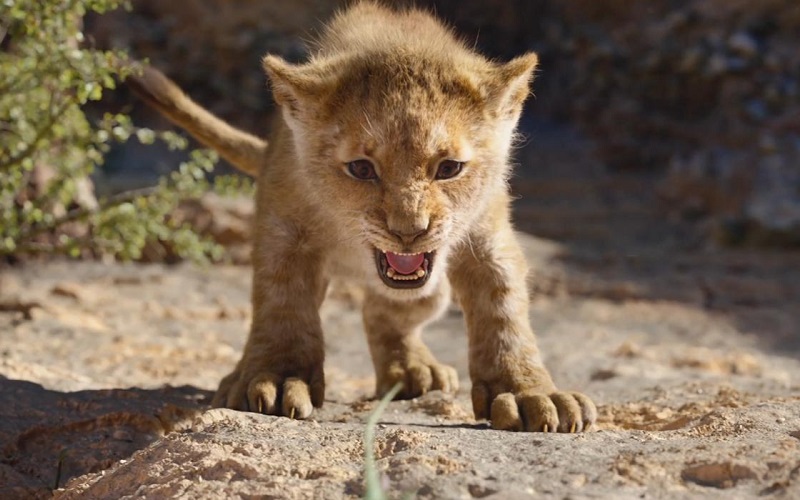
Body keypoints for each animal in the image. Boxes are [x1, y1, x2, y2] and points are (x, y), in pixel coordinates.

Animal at [129, 1, 596, 432]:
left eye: (448, 168)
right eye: (361, 168)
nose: (409, 232)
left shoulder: (488, 236)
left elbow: (503, 310)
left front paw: (529, 392)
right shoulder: (285, 231)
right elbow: (283, 304)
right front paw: (276, 378)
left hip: (431, 292)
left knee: (385, 311)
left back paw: (412, 370)